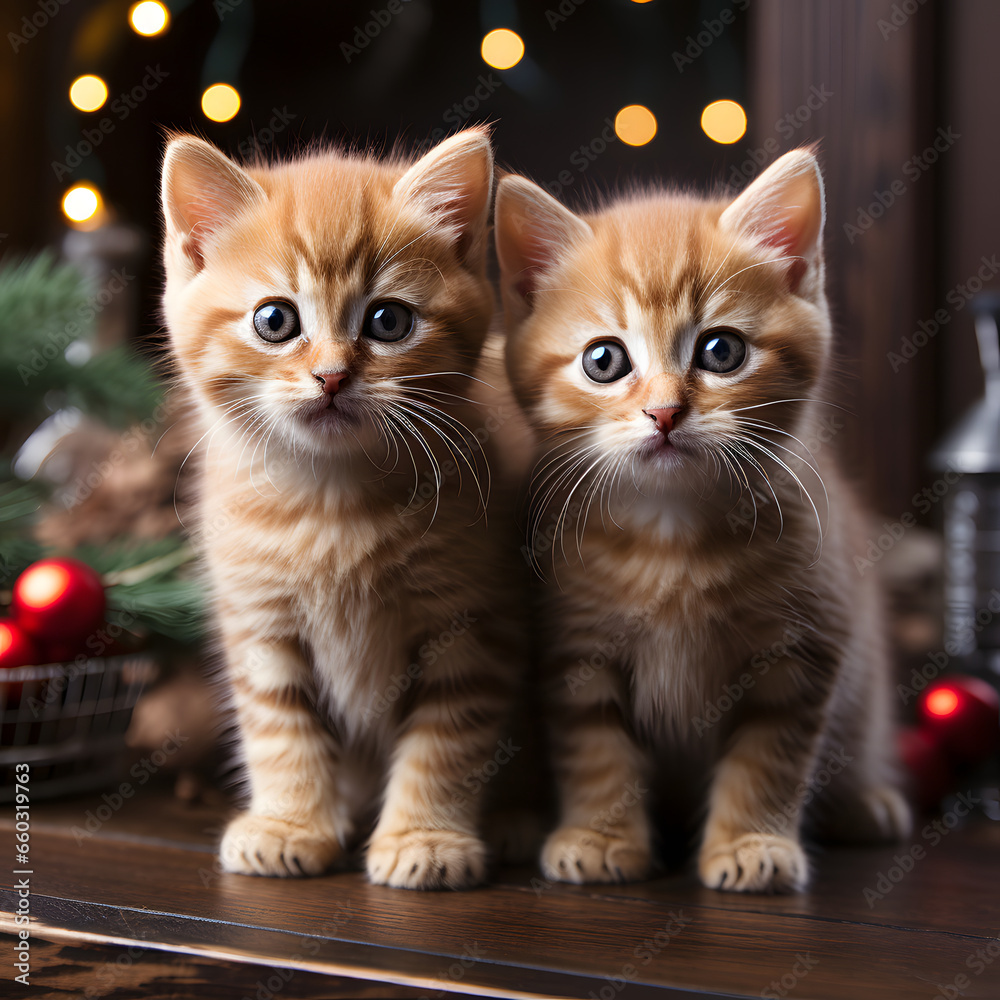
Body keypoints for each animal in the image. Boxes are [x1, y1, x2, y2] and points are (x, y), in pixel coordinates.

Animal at [159, 129, 520, 888]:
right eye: (275, 320)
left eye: (388, 320)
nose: (331, 376)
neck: (332, 506)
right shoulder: (261, 621)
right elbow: (279, 726)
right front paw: (290, 823)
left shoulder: (473, 624)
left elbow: (448, 736)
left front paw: (424, 838)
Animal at [496, 146, 912, 892]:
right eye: (604, 359)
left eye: (722, 351)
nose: (664, 412)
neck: (673, 539)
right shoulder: (575, 648)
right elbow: (595, 750)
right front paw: (601, 836)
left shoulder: (805, 648)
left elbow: (768, 759)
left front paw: (750, 842)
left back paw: (864, 801)